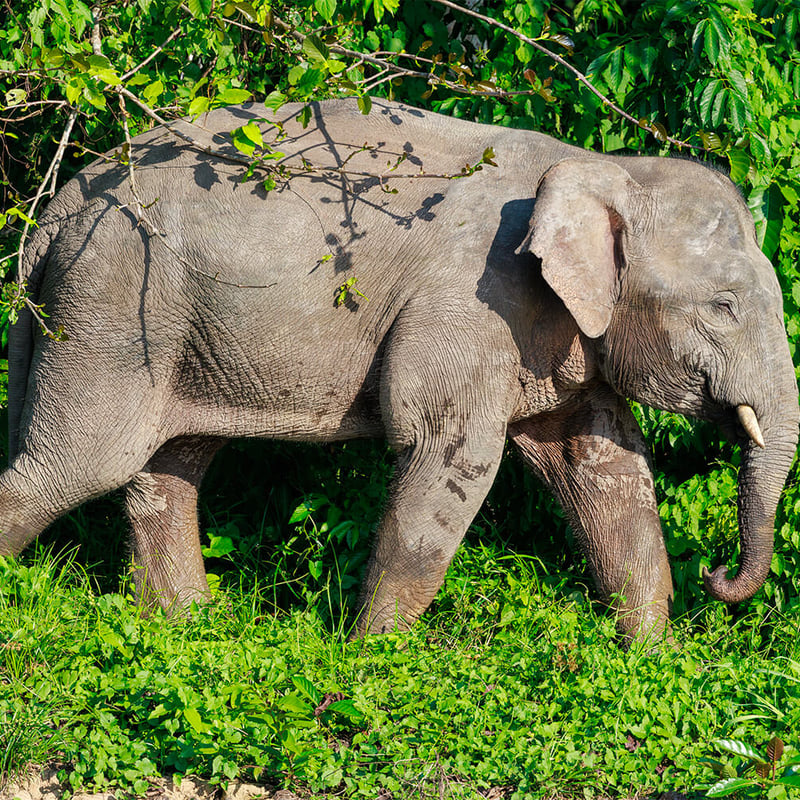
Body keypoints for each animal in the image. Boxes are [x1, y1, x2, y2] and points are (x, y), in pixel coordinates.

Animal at [2, 98, 797, 641]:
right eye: (724, 307)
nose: (718, 576)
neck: (602, 165)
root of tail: (57, 206)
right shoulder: (472, 305)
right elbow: (449, 454)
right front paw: (368, 658)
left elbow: (601, 466)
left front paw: (653, 655)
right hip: (111, 302)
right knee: (78, 464)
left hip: (174, 323)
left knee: (169, 465)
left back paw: (188, 631)